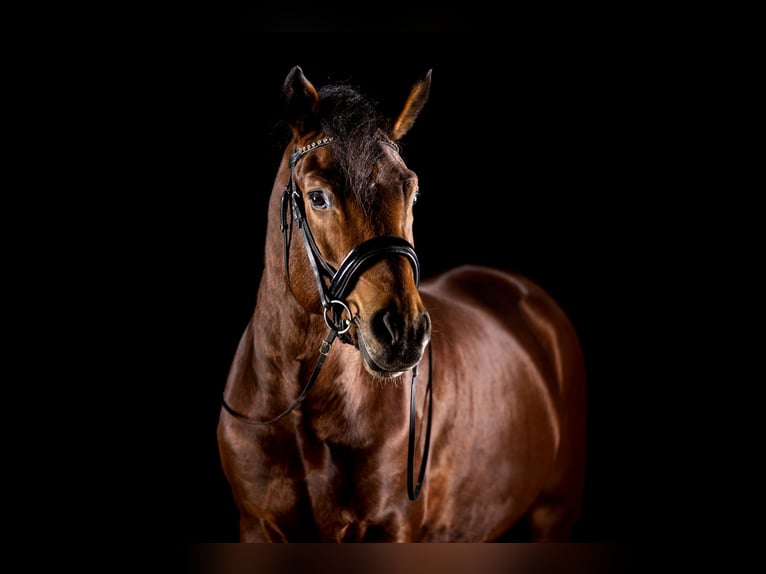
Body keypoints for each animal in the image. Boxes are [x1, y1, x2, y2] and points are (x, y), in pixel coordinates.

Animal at [217, 65, 587, 542]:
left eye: (411, 191)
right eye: (318, 197)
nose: (402, 331)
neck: (299, 405)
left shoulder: (390, 528)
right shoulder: (257, 526)